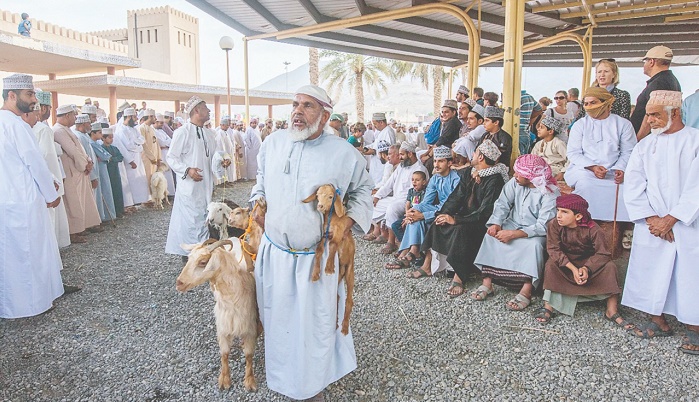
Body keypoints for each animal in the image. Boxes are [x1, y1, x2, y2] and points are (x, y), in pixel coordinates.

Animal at [176, 237, 262, 392]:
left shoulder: (249, 326)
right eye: (189, 258)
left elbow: (248, 355)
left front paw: (250, 381)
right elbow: (224, 353)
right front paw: (224, 380)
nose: (179, 283)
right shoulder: (223, 325)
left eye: (203, 262)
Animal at [300, 184, 356, 334]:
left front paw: (329, 268)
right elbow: (319, 249)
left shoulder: (339, 232)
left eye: (331, 196)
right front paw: (315, 274)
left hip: (350, 272)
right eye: (317, 195)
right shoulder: (325, 234)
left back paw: (344, 327)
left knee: (349, 300)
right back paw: (335, 323)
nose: (320, 206)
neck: (334, 218)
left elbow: (333, 245)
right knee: (337, 297)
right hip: (339, 277)